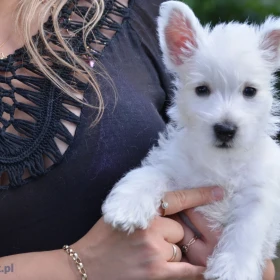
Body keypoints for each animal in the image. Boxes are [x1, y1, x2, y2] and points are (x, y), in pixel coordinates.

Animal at [101, 1, 280, 278]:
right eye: (202, 90)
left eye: (250, 91)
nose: (225, 129)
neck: (221, 161)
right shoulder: (175, 168)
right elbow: (148, 173)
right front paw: (127, 205)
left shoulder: (258, 194)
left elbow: (245, 232)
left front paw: (233, 269)